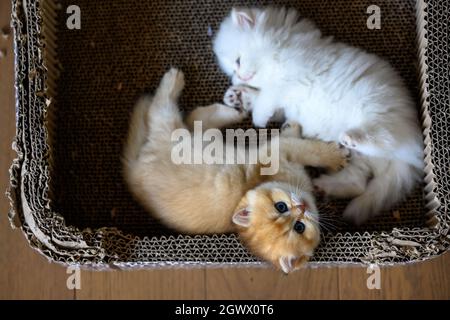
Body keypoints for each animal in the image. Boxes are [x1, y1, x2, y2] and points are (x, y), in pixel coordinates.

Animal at [122, 68, 348, 272]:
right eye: (282, 207)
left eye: (299, 227)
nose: (302, 207)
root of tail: (131, 174)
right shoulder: (278, 150)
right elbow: (308, 149)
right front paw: (334, 156)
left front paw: (291, 127)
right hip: (170, 131)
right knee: (160, 109)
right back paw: (174, 80)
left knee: (194, 119)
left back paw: (229, 112)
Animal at [213, 6, 424, 224]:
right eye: (232, 69)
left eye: (238, 61)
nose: (238, 77)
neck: (281, 48)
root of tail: (412, 153)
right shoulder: (285, 103)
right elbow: (265, 99)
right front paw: (238, 96)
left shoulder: (288, 79)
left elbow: (267, 96)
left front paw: (257, 116)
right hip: (361, 159)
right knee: (358, 183)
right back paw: (323, 185)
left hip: (376, 110)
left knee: (383, 139)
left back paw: (352, 138)